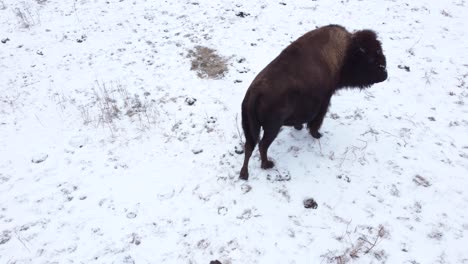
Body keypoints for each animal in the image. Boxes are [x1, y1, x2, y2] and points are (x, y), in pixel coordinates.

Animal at [239, 24, 390, 179]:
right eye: (371, 58)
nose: (384, 74)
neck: (346, 53)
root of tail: (255, 92)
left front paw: (299, 127)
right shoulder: (324, 101)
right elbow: (317, 120)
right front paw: (317, 134)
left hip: (250, 127)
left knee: (249, 146)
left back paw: (244, 174)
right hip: (272, 128)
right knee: (262, 145)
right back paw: (267, 165)